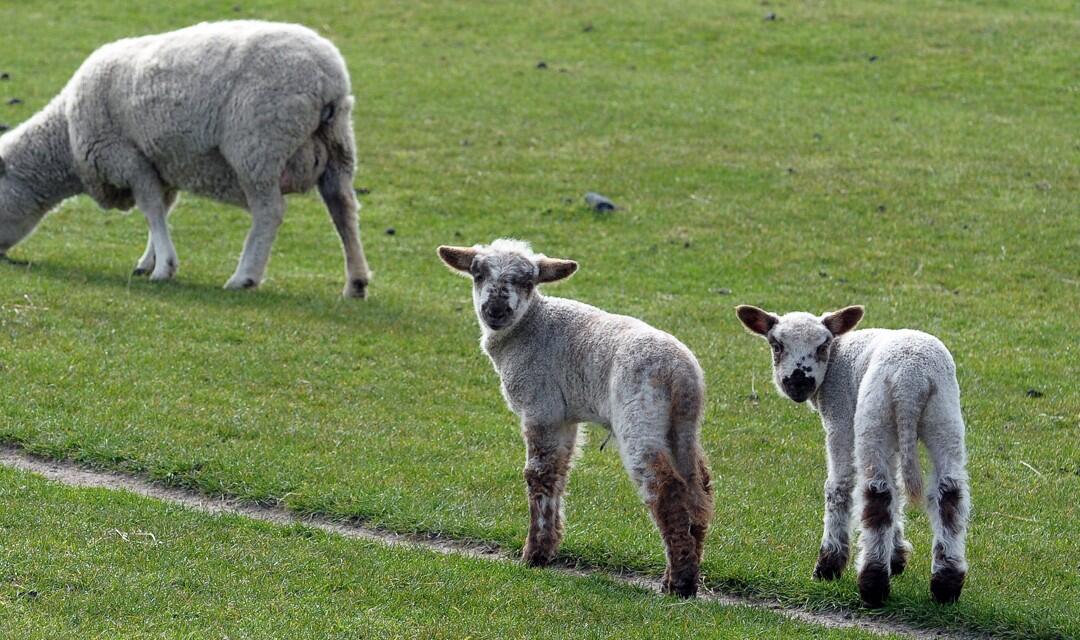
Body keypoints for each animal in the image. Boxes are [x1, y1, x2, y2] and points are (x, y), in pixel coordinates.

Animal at [0, 21, 371, 295]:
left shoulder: (128, 158)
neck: (65, 136)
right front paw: (148, 261)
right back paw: (356, 282)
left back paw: (244, 277)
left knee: (270, 212)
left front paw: (164, 267)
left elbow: (151, 210)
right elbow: (161, 211)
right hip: (338, 146)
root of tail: (327, 77)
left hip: (258, 147)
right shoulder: (160, 164)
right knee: (343, 209)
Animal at [438, 237, 717, 595]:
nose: (496, 311)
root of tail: (681, 374)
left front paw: (534, 555)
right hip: (682, 426)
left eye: (527, 282)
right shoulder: (564, 417)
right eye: (478, 274)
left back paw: (678, 585)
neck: (529, 328)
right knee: (699, 490)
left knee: (665, 487)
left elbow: (538, 475)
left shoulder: (540, 407)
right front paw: (550, 546)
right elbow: (559, 473)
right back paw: (686, 573)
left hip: (640, 415)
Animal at [734, 302, 972, 604]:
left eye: (823, 345)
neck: (835, 359)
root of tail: (911, 380)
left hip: (873, 416)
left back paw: (872, 584)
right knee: (949, 494)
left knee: (876, 494)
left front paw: (829, 567)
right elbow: (898, 491)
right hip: (943, 416)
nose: (798, 384)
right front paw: (896, 557)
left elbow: (838, 486)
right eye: (776, 345)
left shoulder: (840, 420)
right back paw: (946, 586)